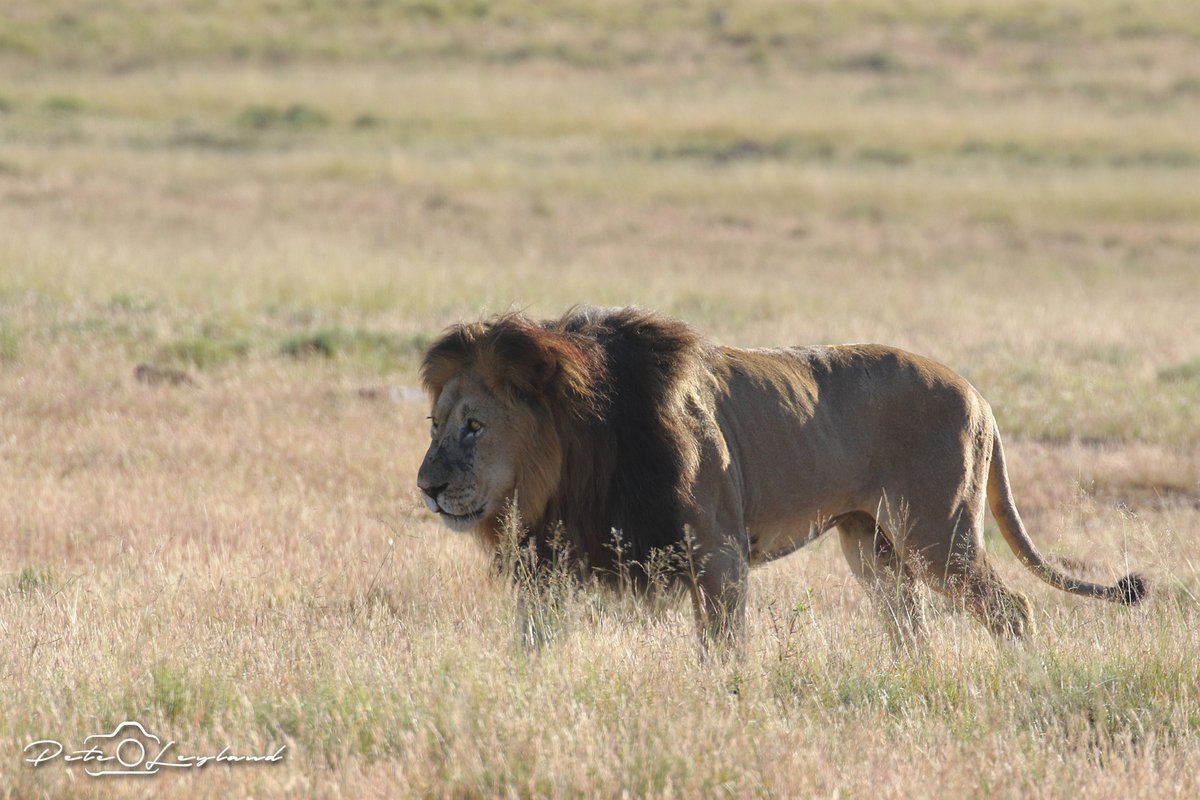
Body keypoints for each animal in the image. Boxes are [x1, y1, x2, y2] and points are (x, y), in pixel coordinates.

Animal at [417, 306, 1146, 645]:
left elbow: (723, 652)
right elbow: (532, 644)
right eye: (434, 424)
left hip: (938, 535)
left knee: (1013, 610)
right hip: (873, 547)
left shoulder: (718, 554)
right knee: (911, 629)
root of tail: (979, 396)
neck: (570, 466)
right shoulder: (554, 563)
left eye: (474, 427)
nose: (427, 486)